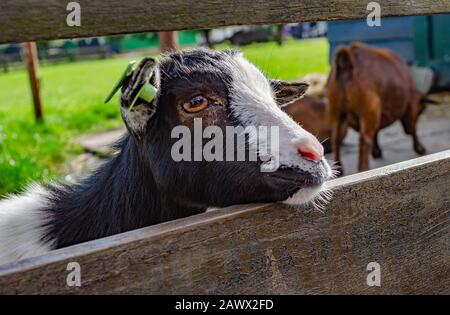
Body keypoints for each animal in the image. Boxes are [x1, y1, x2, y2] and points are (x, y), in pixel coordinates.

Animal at [326, 42, 436, 173]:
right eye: (420, 111)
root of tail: (347, 60)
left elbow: (376, 131)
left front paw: (376, 151)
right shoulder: (409, 107)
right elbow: (413, 128)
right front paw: (420, 148)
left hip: (336, 110)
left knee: (336, 139)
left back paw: (338, 169)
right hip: (368, 109)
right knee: (364, 139)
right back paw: (363, 168)